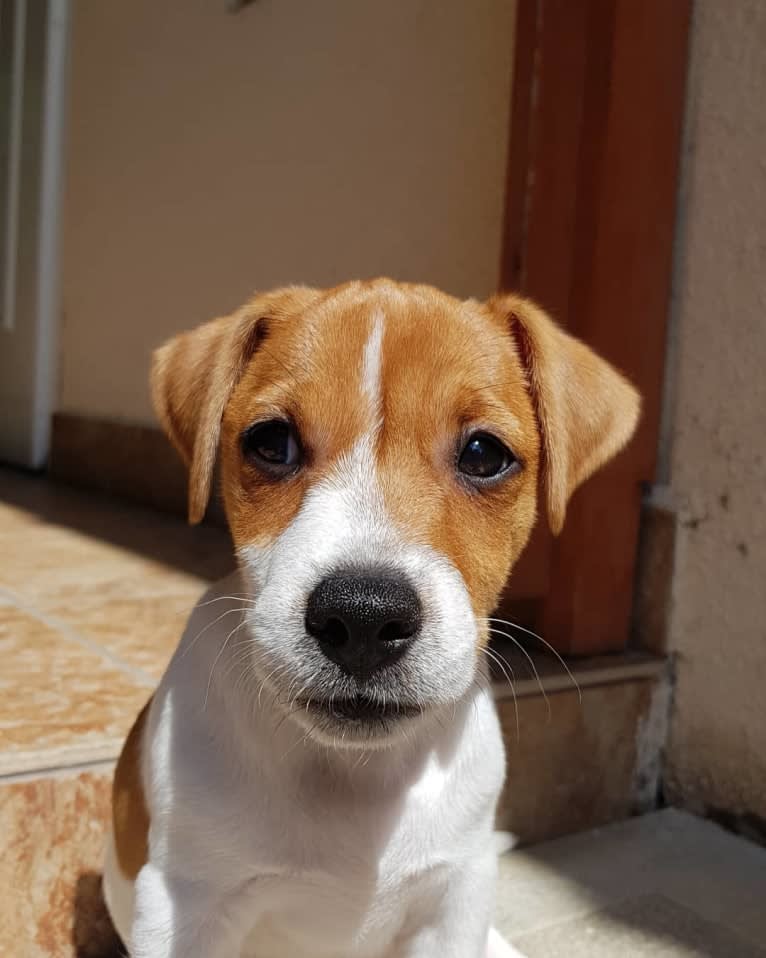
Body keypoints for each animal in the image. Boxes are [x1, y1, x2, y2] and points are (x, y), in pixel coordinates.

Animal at [102, 276, 640, 952]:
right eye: (271, 443)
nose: (363, 617)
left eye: (484, 454)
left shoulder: (454, 901)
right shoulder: (184, 905)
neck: (352, 776)